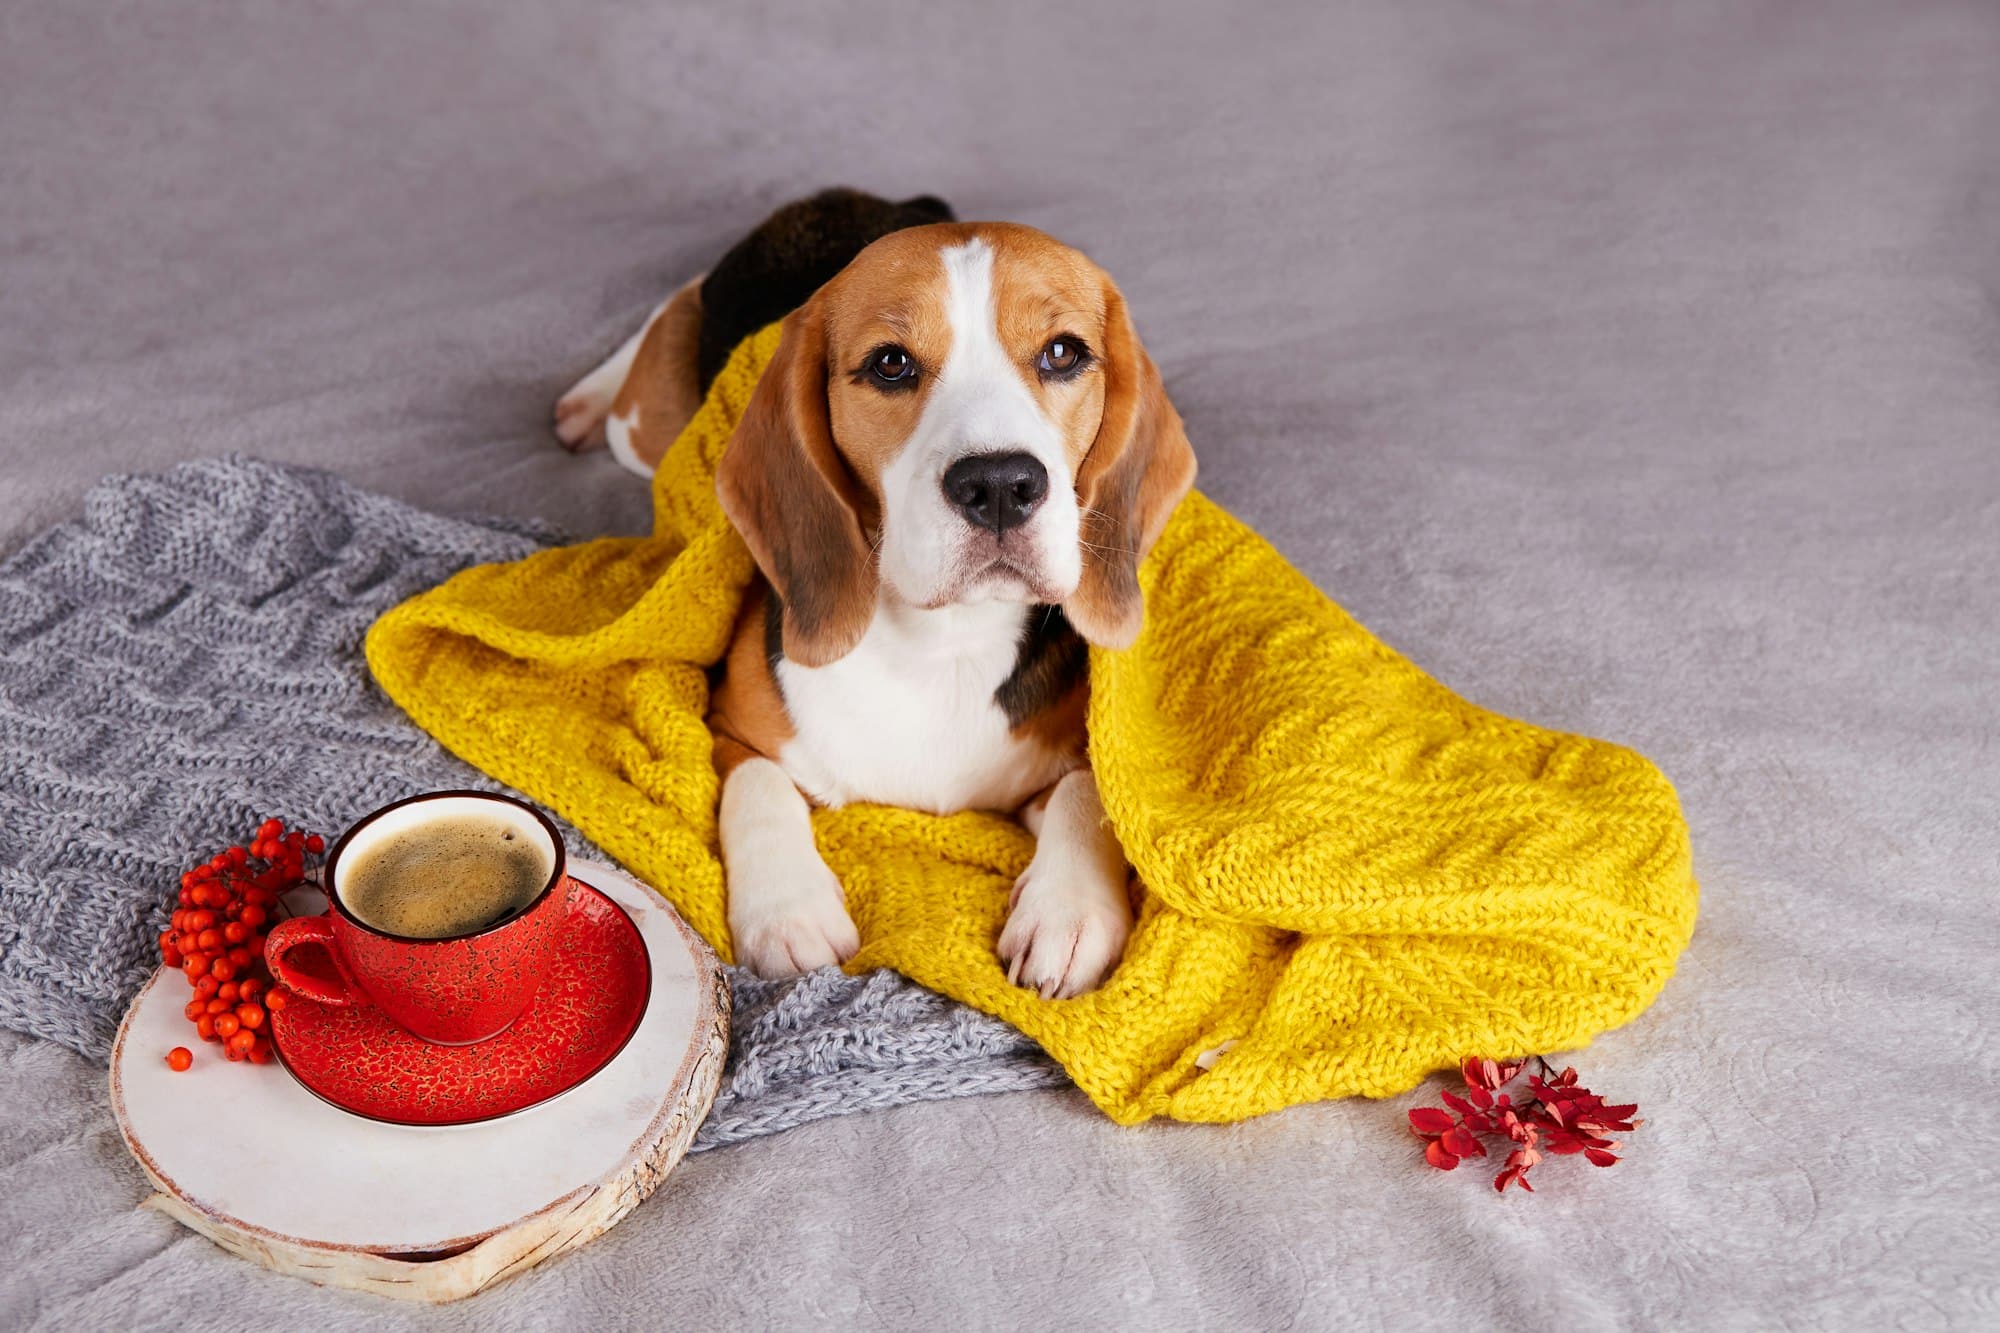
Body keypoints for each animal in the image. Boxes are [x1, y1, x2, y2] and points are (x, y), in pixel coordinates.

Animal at [556, 189, 1192, 996]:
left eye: (1062, 353)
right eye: (891, 364)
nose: (998, 485)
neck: (943, 644)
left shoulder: (1075, 755)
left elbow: (1093, 795)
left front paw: (1068, 911)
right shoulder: (728, 727)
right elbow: (757, 785)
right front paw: (787, 910)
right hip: (642, 434)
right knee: (666, 322)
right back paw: (589, 396)